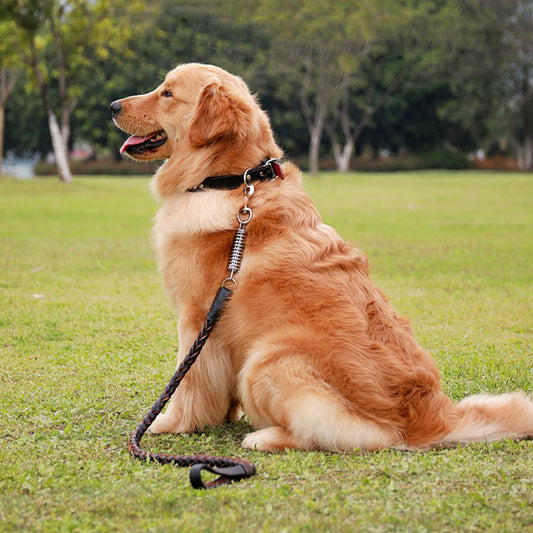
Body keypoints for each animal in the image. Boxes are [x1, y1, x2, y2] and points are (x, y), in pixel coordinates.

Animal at [109, 63, 532, 454]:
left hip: (267, 359)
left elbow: (187, 379)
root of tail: (431, 421)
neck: (233, 180)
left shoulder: (198, 317)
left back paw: (263, 437)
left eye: (167, 93)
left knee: (331, 435)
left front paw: (171, 422)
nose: (112, 106)